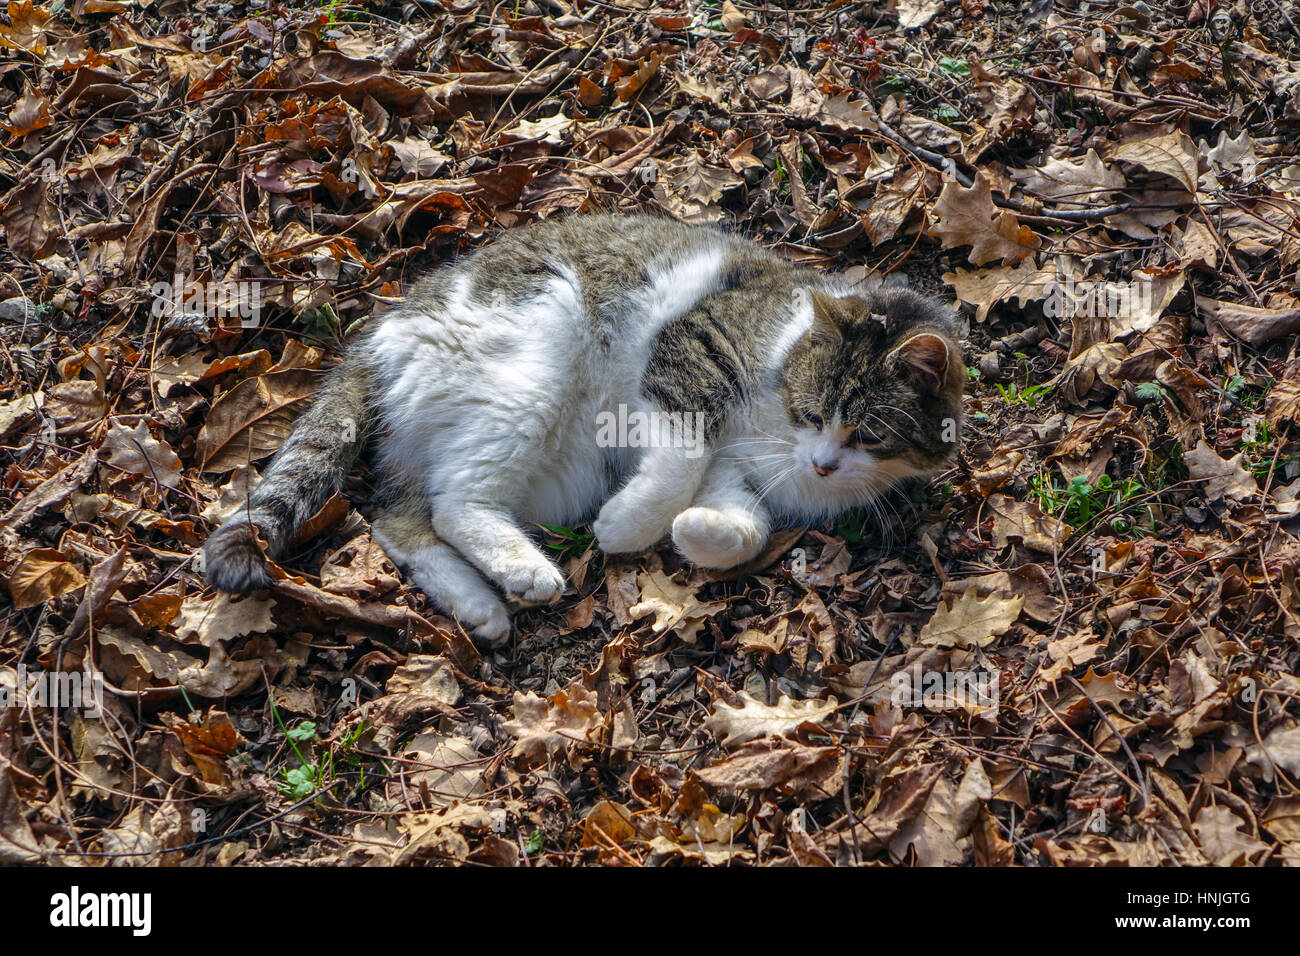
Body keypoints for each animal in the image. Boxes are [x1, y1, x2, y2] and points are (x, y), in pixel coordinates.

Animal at [202, 213, 967, 647]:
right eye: (813, 411)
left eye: (869, 435)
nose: (824, 465)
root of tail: (379, 332)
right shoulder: (689, 354)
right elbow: (680, 458)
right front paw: (625, 528)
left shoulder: (736, 475)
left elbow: (741, 525)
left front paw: (693, 533)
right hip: (538, 358)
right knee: (453, 505)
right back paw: (525, 571)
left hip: (530, 466)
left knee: (400, 518)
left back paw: (480, 607)